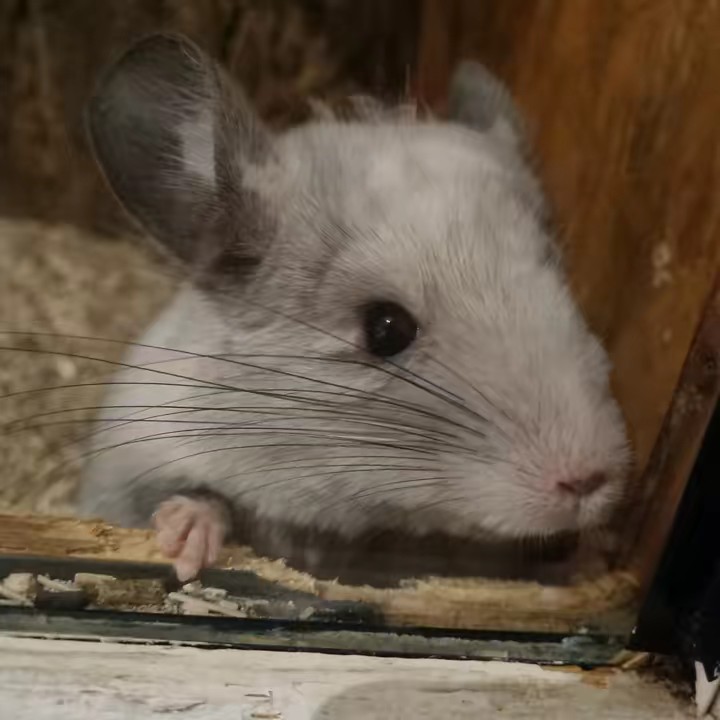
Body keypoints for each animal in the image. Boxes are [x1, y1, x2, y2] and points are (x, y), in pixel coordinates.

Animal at [78, 34, 630, 583]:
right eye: (385, 328)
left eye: (559, 280)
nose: (589, 480)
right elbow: (198, 497)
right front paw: (185, 542)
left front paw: (590, 556)